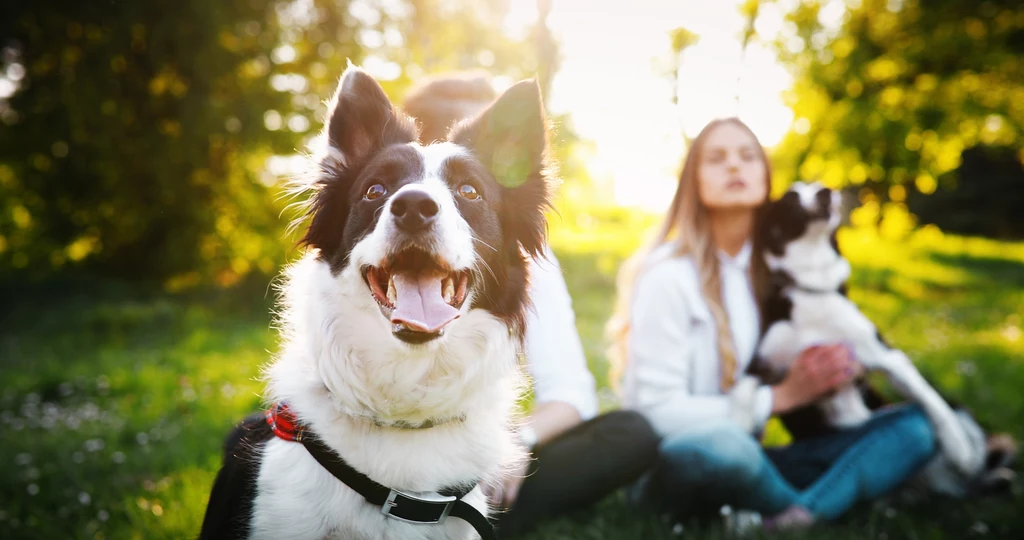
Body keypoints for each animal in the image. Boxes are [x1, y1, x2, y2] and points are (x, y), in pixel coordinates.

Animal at [745, 181, 1015, 497]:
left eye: (818, 185)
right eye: (790, 197)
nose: (827, 192)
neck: (812, 289)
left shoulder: (885, 355)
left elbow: (930, 399)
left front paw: (960, 448)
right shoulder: (764, 366)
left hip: (958, 410)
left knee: (968, 443)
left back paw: (989, 473)